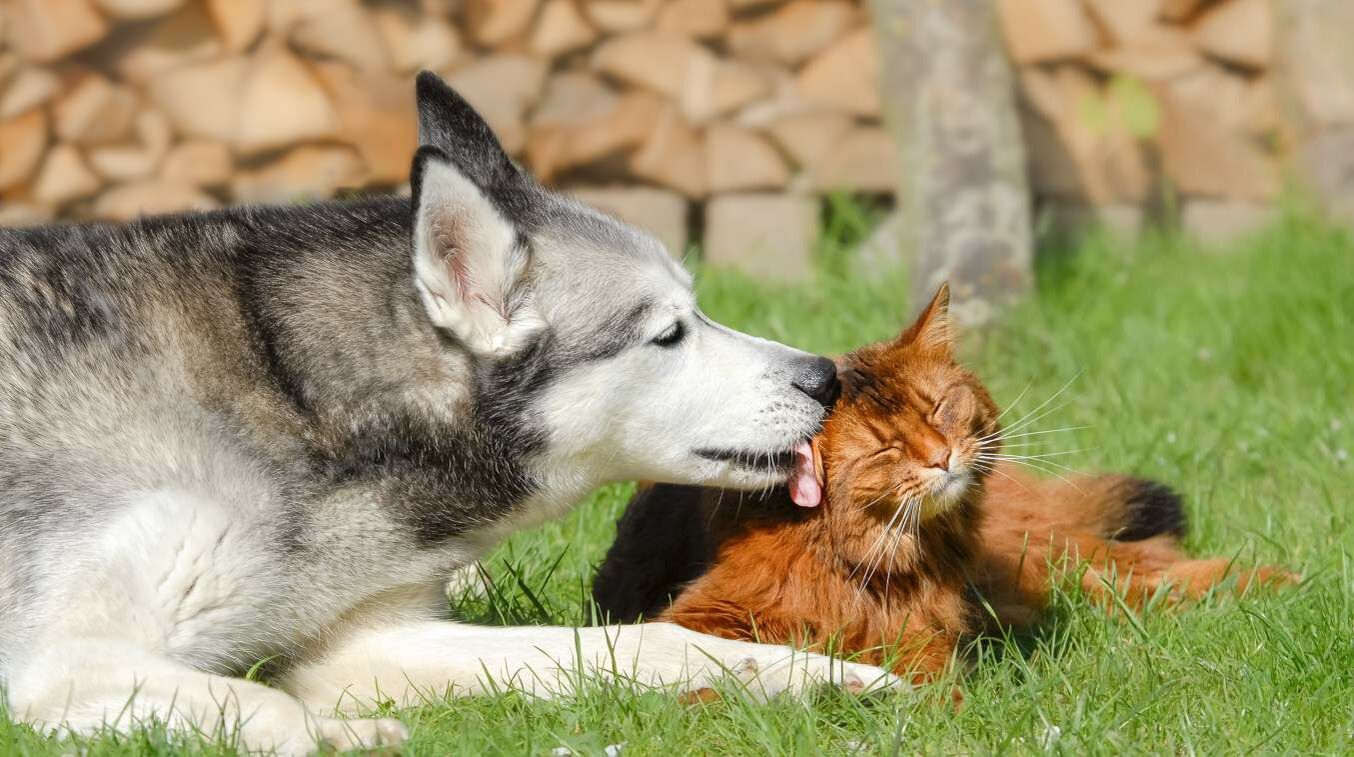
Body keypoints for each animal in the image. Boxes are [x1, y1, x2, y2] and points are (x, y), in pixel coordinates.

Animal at [0, 74, 899, 752]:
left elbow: (644, 639)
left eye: (697, 308)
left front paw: (814, 674)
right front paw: (336, 735)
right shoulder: (64, 663)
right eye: (668, 333)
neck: (299, 402)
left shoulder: (368, 642)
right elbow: (268, 704)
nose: (826, 377)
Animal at [593, 284, 1289, 687]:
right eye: (885, 445)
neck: (875, 564)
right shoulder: (700, 618)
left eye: (938, 408)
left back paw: (1269, 580)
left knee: (1138, 564)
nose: (942, 457)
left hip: (1039, 557)